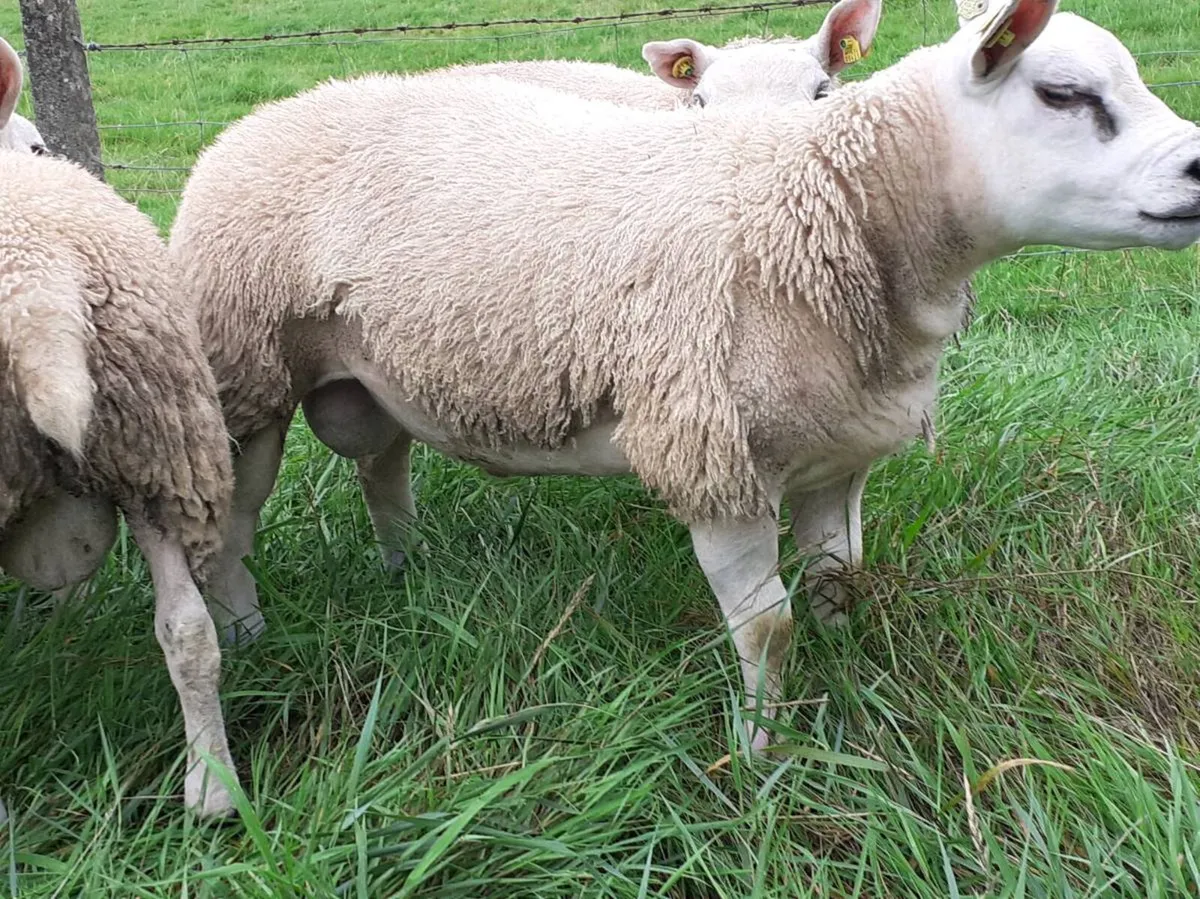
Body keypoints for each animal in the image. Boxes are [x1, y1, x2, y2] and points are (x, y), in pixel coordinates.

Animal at [170, 0, 1200, 750]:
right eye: (1063, 94)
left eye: (823, 87)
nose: (1196, 168)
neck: (816, 212)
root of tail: (268, 113)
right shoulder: (712, 453)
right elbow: (766, 628)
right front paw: (761, 752)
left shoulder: (839, 452)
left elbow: (841, 576)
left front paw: (846, 668)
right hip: (246, 376)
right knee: (235, 523)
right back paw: (247, 630)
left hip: (367, 372)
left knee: (381, 464)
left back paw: (403, 568)